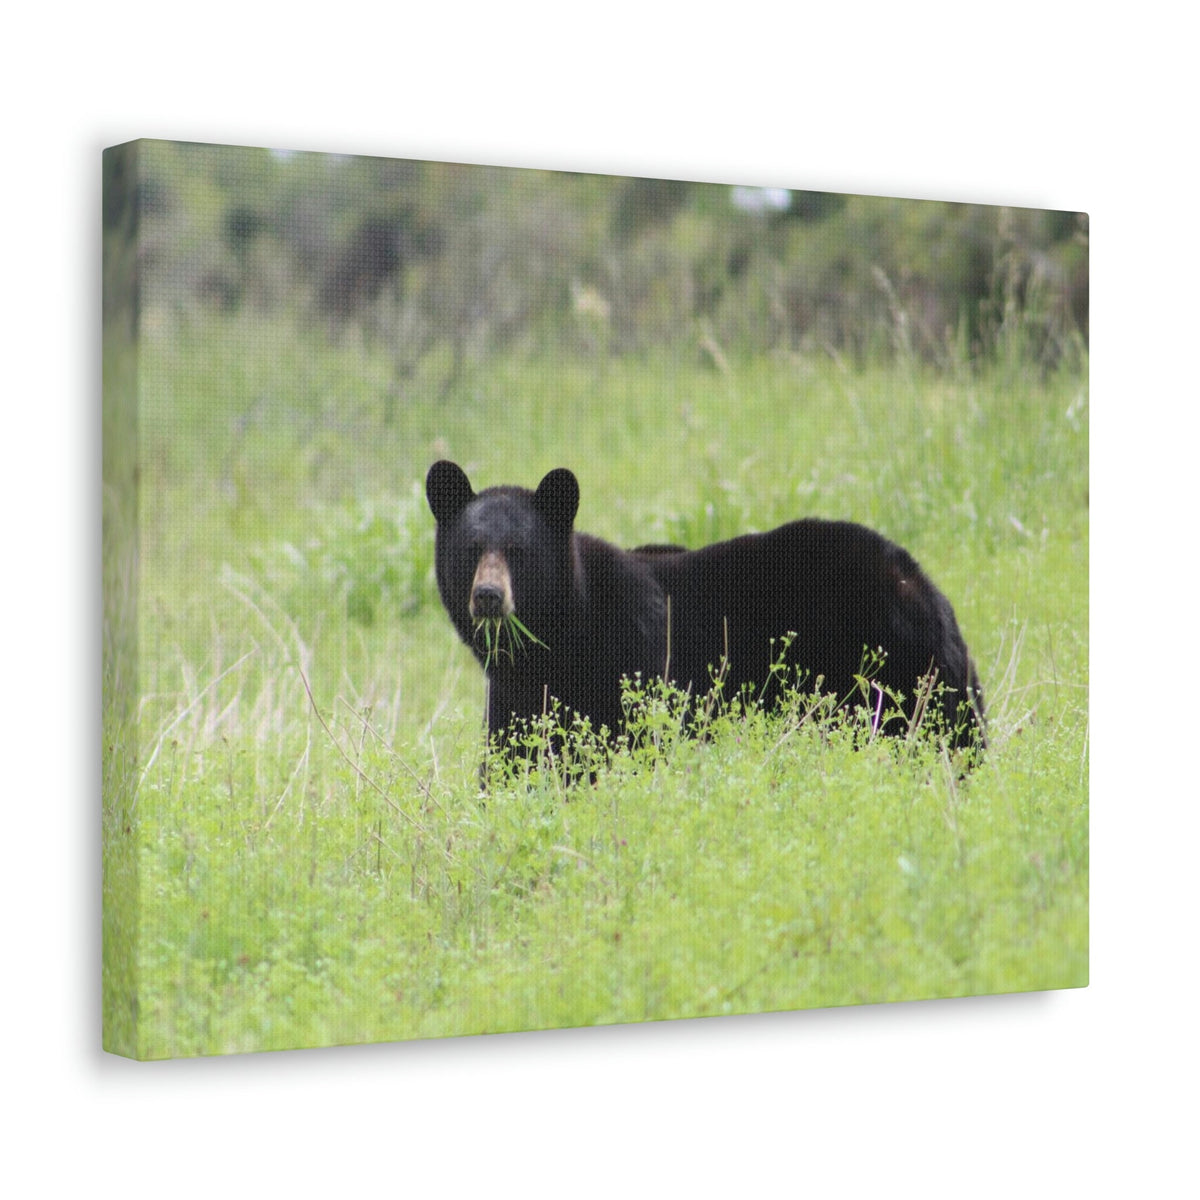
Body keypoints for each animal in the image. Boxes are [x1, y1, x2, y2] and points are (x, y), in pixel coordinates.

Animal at [425, 460, 985, 770]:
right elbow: (513, 759)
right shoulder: (516, 693)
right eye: (472, 549)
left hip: (888, 673)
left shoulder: (634, 656)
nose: (489, 595)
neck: (563, 637)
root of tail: (921, 583)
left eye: (518, 552)